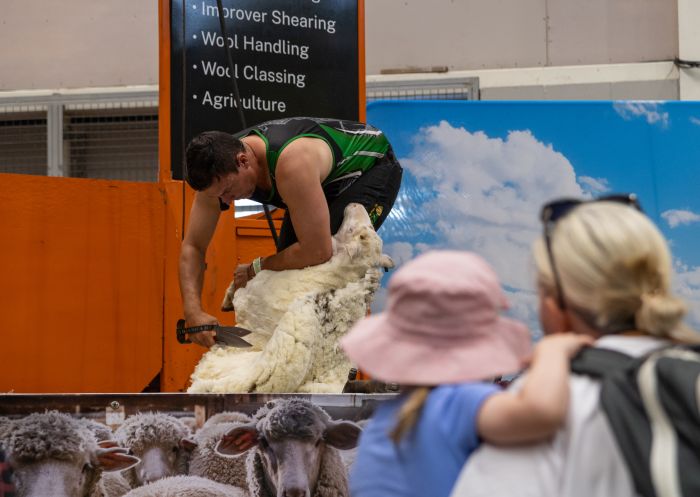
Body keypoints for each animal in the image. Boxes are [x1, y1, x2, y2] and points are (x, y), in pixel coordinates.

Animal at [187, 203, 394, 394]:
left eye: (351, 230)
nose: (355, 204)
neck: (332, 273)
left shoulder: (249, 295)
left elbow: (241, 287)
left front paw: (231, 294)